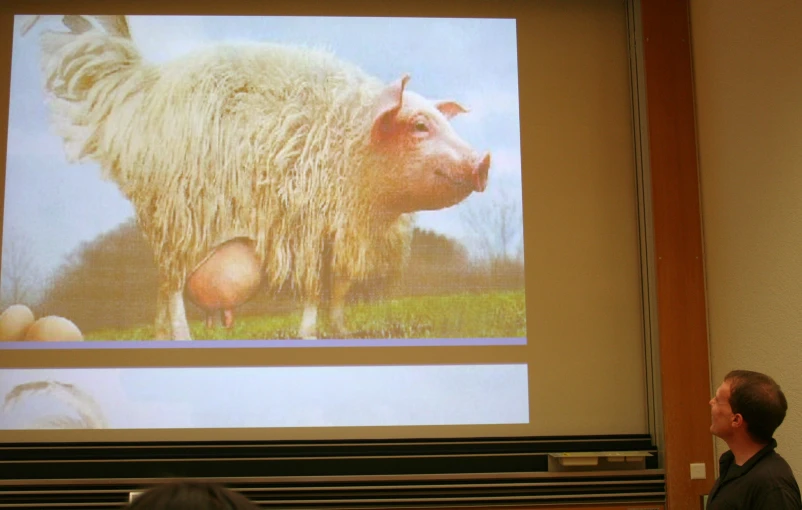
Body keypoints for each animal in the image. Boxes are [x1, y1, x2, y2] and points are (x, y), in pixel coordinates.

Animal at [25, 15, 488, 340]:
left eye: (440, 122)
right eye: (419, 125)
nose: (483, 160)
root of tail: (140, 98)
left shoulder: (343, 234)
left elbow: (338, 288)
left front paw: (343, 331)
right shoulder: (306, 225)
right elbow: (311, 291)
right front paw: (308, 335)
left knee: (161, 283)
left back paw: (162, 338)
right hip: (179, 215)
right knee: (172, 286)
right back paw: (183, 336)